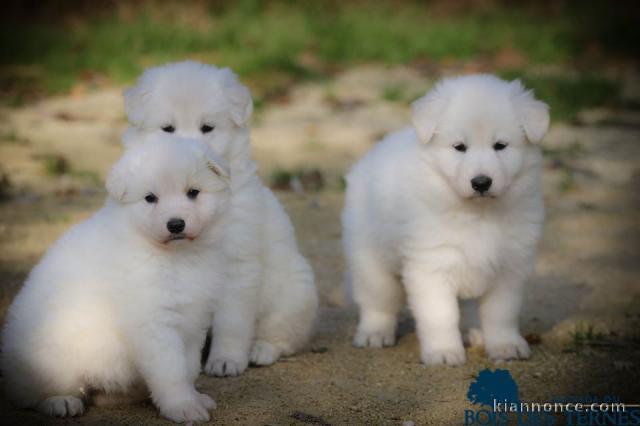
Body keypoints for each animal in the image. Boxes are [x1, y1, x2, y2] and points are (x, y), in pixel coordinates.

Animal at [1, 135, 231, 422]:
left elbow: (188, 367)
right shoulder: (152, 323)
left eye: (193, 192)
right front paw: (183, 406)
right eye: (150, 198)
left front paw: (194, 398)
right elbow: (171, 372)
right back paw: (60, 401)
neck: (174, 257)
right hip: (55, 359)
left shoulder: (192, 319)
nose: (176, 224)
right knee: (30, 393)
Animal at [122, 60, 318, 376]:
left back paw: (262, 350)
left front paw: (226, 361)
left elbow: (233, 324)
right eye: (168, 129)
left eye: (207, 128)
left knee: (283, 334)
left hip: (293, 293)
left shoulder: (238, 266)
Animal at [340, 74, 552, 366]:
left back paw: (475, 332)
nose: (481, 183)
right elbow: (440, 315)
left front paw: (505, 345)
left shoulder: (509, 266)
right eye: (459, 147)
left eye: (500, 146)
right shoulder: (431, 266)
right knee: (378, 301)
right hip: (370, 258)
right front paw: (443, 352)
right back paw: (374, 334)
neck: (478, 213)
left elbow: (501, 313)